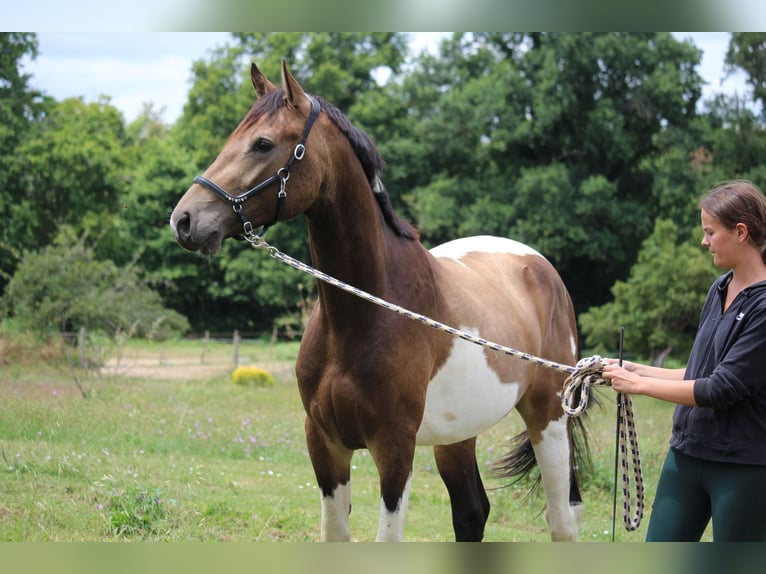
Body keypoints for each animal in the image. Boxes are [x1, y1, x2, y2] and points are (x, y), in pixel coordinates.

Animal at [171, 60, 592, 544]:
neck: (366, 312)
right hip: (457, 435)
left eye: (263, 144)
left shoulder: (394, 448)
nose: (185, 220)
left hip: (548, 418)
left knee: (563, 519)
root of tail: (541, 268)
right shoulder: (325, 443)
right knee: (472, 514)